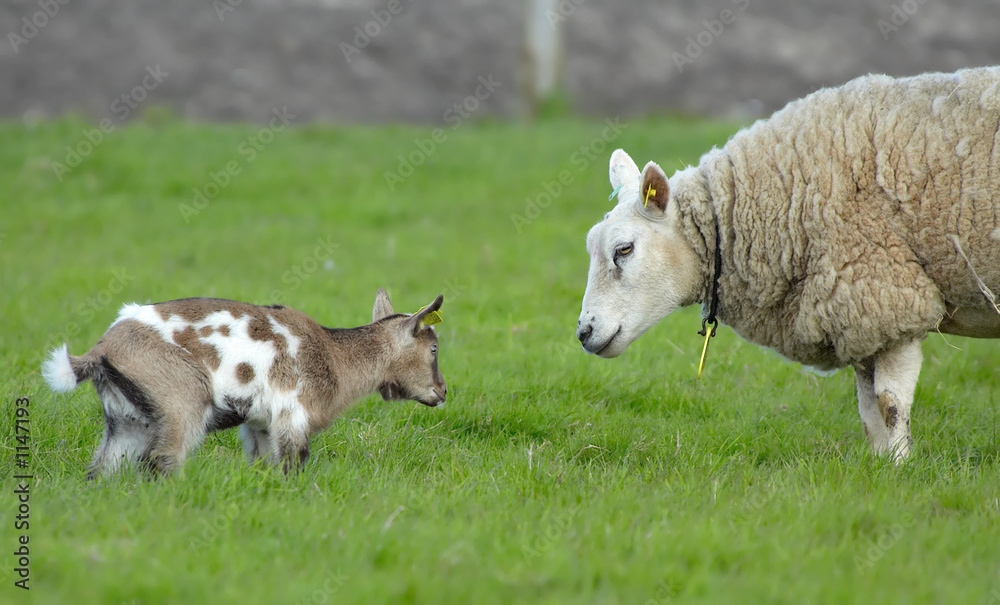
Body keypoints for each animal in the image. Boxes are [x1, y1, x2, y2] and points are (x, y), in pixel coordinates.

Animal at [43, 288, 442, 476]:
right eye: (434, 348)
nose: (442, 392)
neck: (333, 357)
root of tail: (102, 348)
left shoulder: (260, 425)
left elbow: (264, 465)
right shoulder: (291, 415)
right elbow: (293, 465)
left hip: (127, 421)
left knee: (102, 469)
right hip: (181, 402)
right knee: (162, 461)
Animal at [580, 66, 1000, 460]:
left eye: (624, 249)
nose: (584, 332)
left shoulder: (890, 297)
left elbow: (890, 403)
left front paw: (899, 467)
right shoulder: (859, 314)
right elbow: (868, 411)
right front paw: (879, 464)